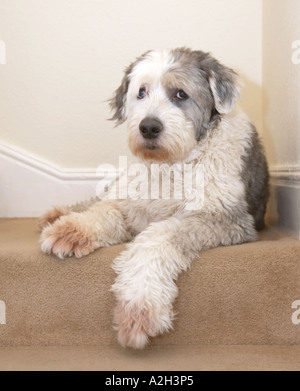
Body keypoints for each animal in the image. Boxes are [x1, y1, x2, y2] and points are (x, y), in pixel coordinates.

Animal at [38, 47, 270, 350]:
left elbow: (157, 237)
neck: (170, 165)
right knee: (104, 196)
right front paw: (71, 229)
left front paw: (139, 309)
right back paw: (57, 215)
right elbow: (106, 210)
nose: (148, 127)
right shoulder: (133, 207)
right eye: (141, 92)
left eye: (180, 94)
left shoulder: (225, 219)